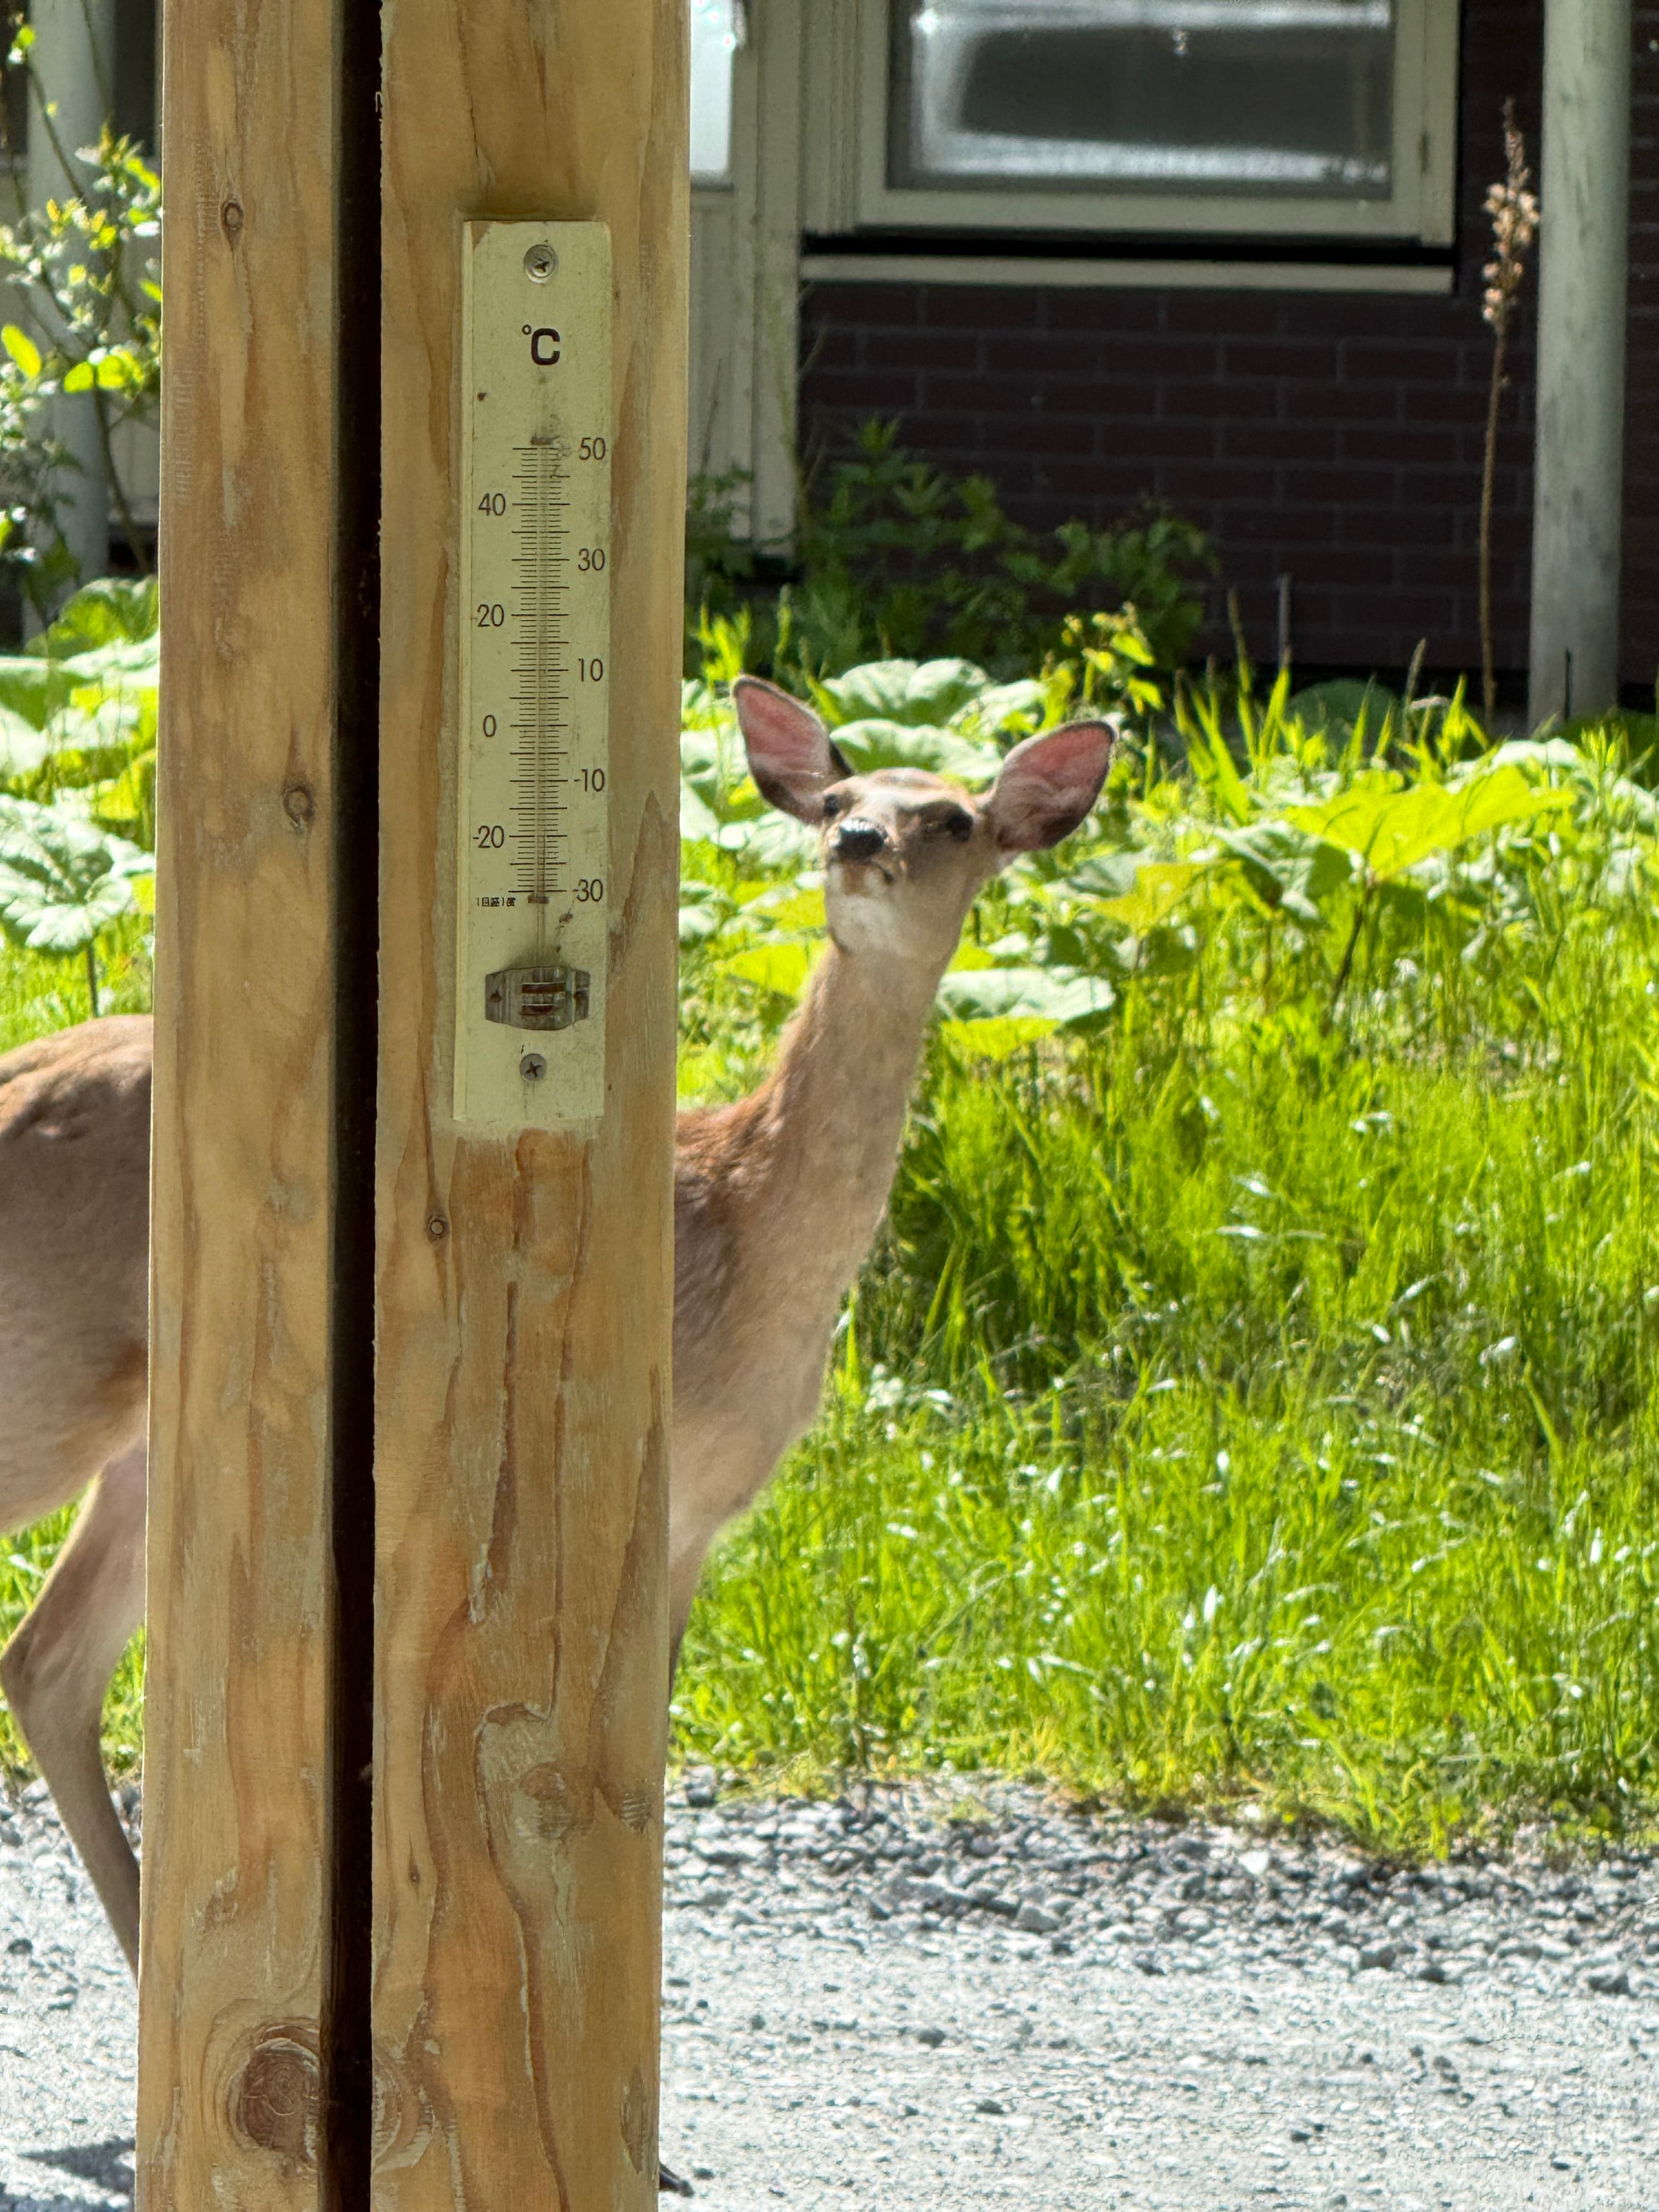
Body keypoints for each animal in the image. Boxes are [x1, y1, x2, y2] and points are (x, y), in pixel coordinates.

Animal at [0, 675, 1114, 1994]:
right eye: (839, 793)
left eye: (948, 819)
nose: (854, 842)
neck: (751, 1241)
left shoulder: (694, 1523)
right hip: (49, 1371)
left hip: (151, 1442)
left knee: (48, 1663)